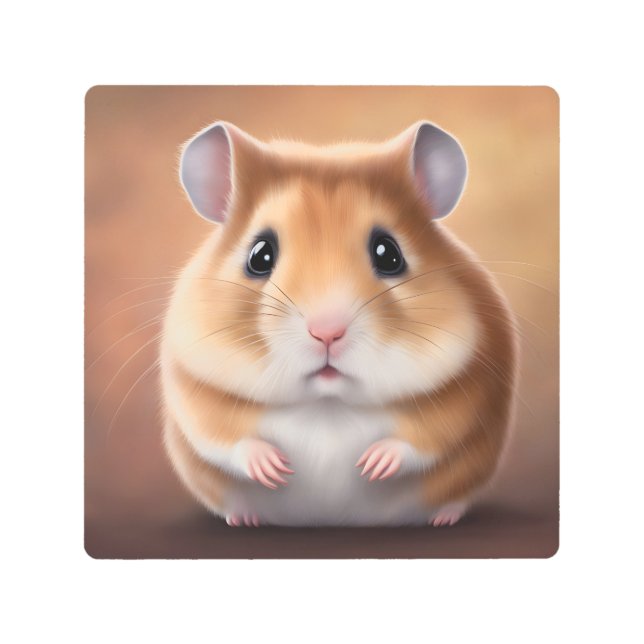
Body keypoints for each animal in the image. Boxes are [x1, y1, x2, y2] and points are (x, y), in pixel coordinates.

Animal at [160, 121, 518, 527]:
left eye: (389, 254)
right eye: (259, 255)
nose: (327, 332)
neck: (327, 404)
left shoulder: (468, 391)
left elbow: (425, 436)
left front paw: (373, 465)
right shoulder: (196, 395)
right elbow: (225, 437)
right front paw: (275, 468)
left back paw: (442, 519)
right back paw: (244, 518)